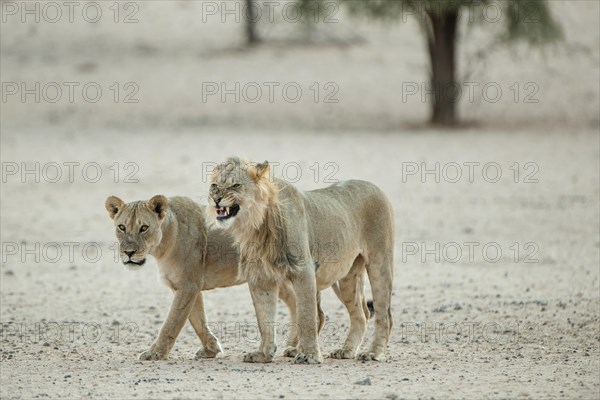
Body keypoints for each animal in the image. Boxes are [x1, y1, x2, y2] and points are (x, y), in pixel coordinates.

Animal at [105, 195, 322, 360]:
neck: (164, 243)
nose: (129, 252)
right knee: (302, 305)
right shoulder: (186, 287)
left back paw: (298, 348)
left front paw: (155, 353)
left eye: (144, 228)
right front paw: (211, 348)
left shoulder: (188, 285)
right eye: (122, 227)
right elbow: (197, 320)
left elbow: (172, 322)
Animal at [209, 158, 396, 364]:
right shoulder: (260, 277)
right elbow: (264, 319)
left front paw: (309, 355)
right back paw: (345, 350)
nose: (216, 198)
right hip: (348, 276)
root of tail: (375, 187)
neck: (256, 225)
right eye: (214, 185)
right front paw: (263, 354)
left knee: (384, 315)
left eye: (235, 185)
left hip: (379, 262)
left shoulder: (303, 270)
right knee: (361, 314)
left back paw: (374, 353)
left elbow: (306, 316)